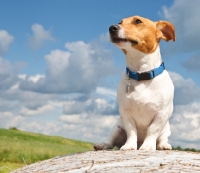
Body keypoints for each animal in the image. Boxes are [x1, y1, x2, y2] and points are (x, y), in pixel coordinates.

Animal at [94, 15, 175, 151]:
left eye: (138, 21)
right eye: (120, 22)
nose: (112, 28)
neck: (141, 74)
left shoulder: (162, 113)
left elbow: (152, 130)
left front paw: (148, 145)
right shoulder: (125, 112)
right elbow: (131, 131)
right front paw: (129, 146)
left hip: (166, 129)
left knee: (162, 138)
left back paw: (163, 145)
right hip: (116, 128)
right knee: (111, 141)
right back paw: (103, 144)